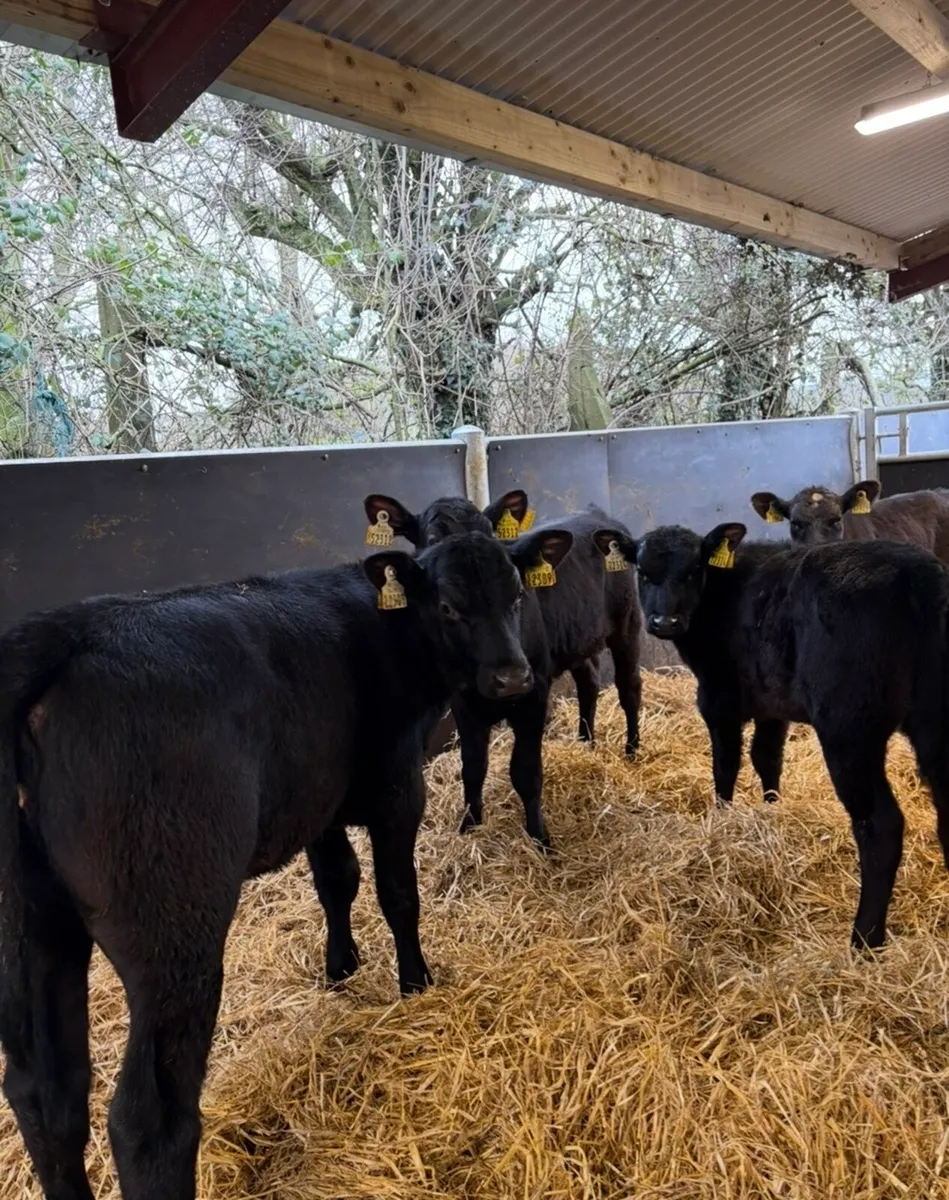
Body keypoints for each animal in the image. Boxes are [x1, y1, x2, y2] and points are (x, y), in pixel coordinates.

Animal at [0, 526, 572, 1200]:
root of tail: (60, 636)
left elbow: (337, 881)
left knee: (46, 1096)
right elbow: (397, 893)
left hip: (32, 929)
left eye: (516, 596)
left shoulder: (319, 799)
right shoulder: (398, 786)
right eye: (450, 607)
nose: (513, 676)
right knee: (148, 1121)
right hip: (172, 930)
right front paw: (414, 983)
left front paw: (341, 970)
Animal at [363, 490, 640, 844]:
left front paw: (540, 838)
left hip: (628, 624)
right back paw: (585, 743)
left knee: (629, 688)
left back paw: (632, 751)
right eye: (446, 607)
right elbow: (472, 767)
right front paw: (469, 825)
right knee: (589, 683)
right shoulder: (463, 703)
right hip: (578, 638)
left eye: (519, 593)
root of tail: (597, 514)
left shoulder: (534, 693)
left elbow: (525, 772)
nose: (510, 678)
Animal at [599, 521, 949, 952]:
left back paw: (863, 939)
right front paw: (771, 812)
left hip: (849, 730)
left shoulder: (718, 698)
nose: (665, 622)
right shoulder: (771, 706)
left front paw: (722, 819)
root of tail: (916, 573)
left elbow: (726, 765)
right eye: (643, 573)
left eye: (693, 570)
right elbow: (767, 758)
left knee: (879, 825)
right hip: (933, 722)